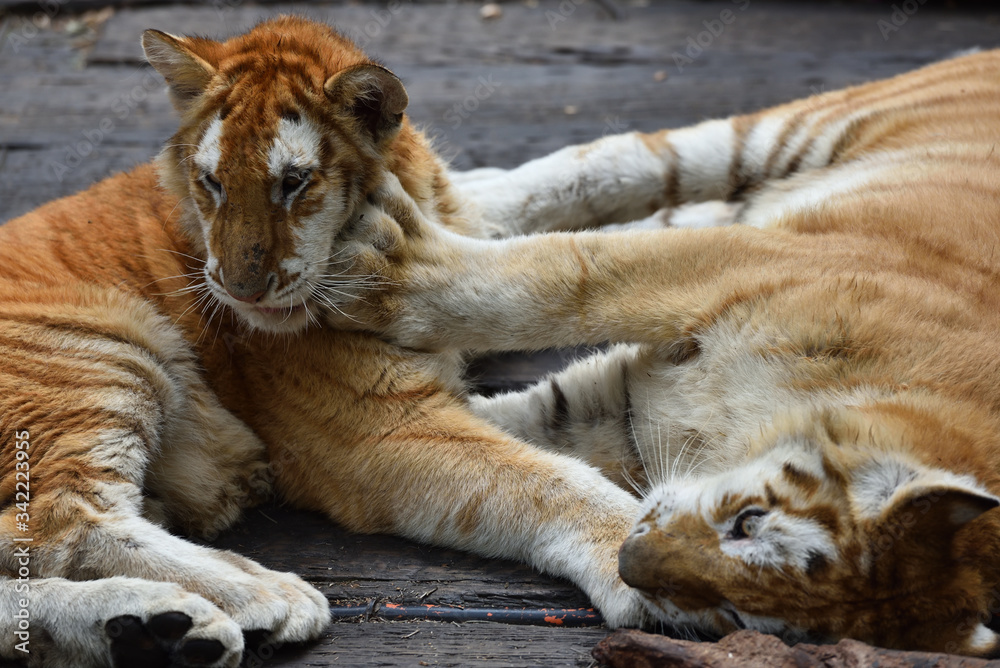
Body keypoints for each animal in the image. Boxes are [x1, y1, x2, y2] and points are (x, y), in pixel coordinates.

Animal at [0, 16, 646, 668]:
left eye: (293, 183)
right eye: (212, 183)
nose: (239, 289)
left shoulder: (466, 217)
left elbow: (549, 182)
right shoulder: (375, 435)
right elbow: (553, 483)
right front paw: (641, 550)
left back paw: (159, 630)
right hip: (102, 352)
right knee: (57, 521)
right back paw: (258, 598)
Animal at [325, 47, 1000, 657]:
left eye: (740, 614)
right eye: (748, 521)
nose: (631, 559)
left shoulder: (626, 405)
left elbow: (511, 426)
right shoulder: (737, 261)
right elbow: (562, 274)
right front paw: (384, 270)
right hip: (778, 134)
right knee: (614, 161)